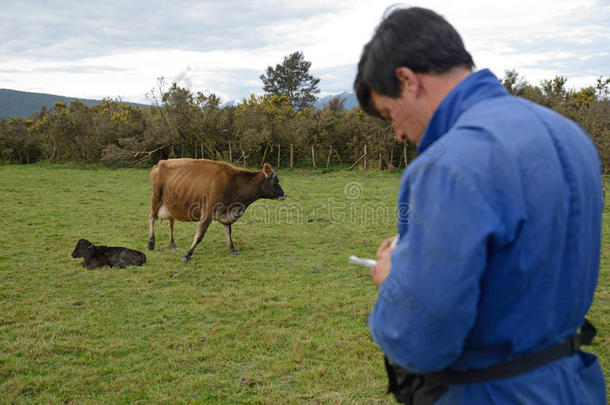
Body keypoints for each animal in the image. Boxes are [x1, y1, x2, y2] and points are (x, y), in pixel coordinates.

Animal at [147, 158, 284, 262]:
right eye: (275, 182)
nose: (284, 194)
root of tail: (160, 163)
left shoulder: (226, 213)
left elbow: (228, 232)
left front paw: (232, 248)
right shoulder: (207, 212)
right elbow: (199, 235)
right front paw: (187, 254)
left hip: (172, 203)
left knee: (171, 222)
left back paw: (172, 243)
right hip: (156, 198)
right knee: (152, 217)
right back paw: (151, 242)